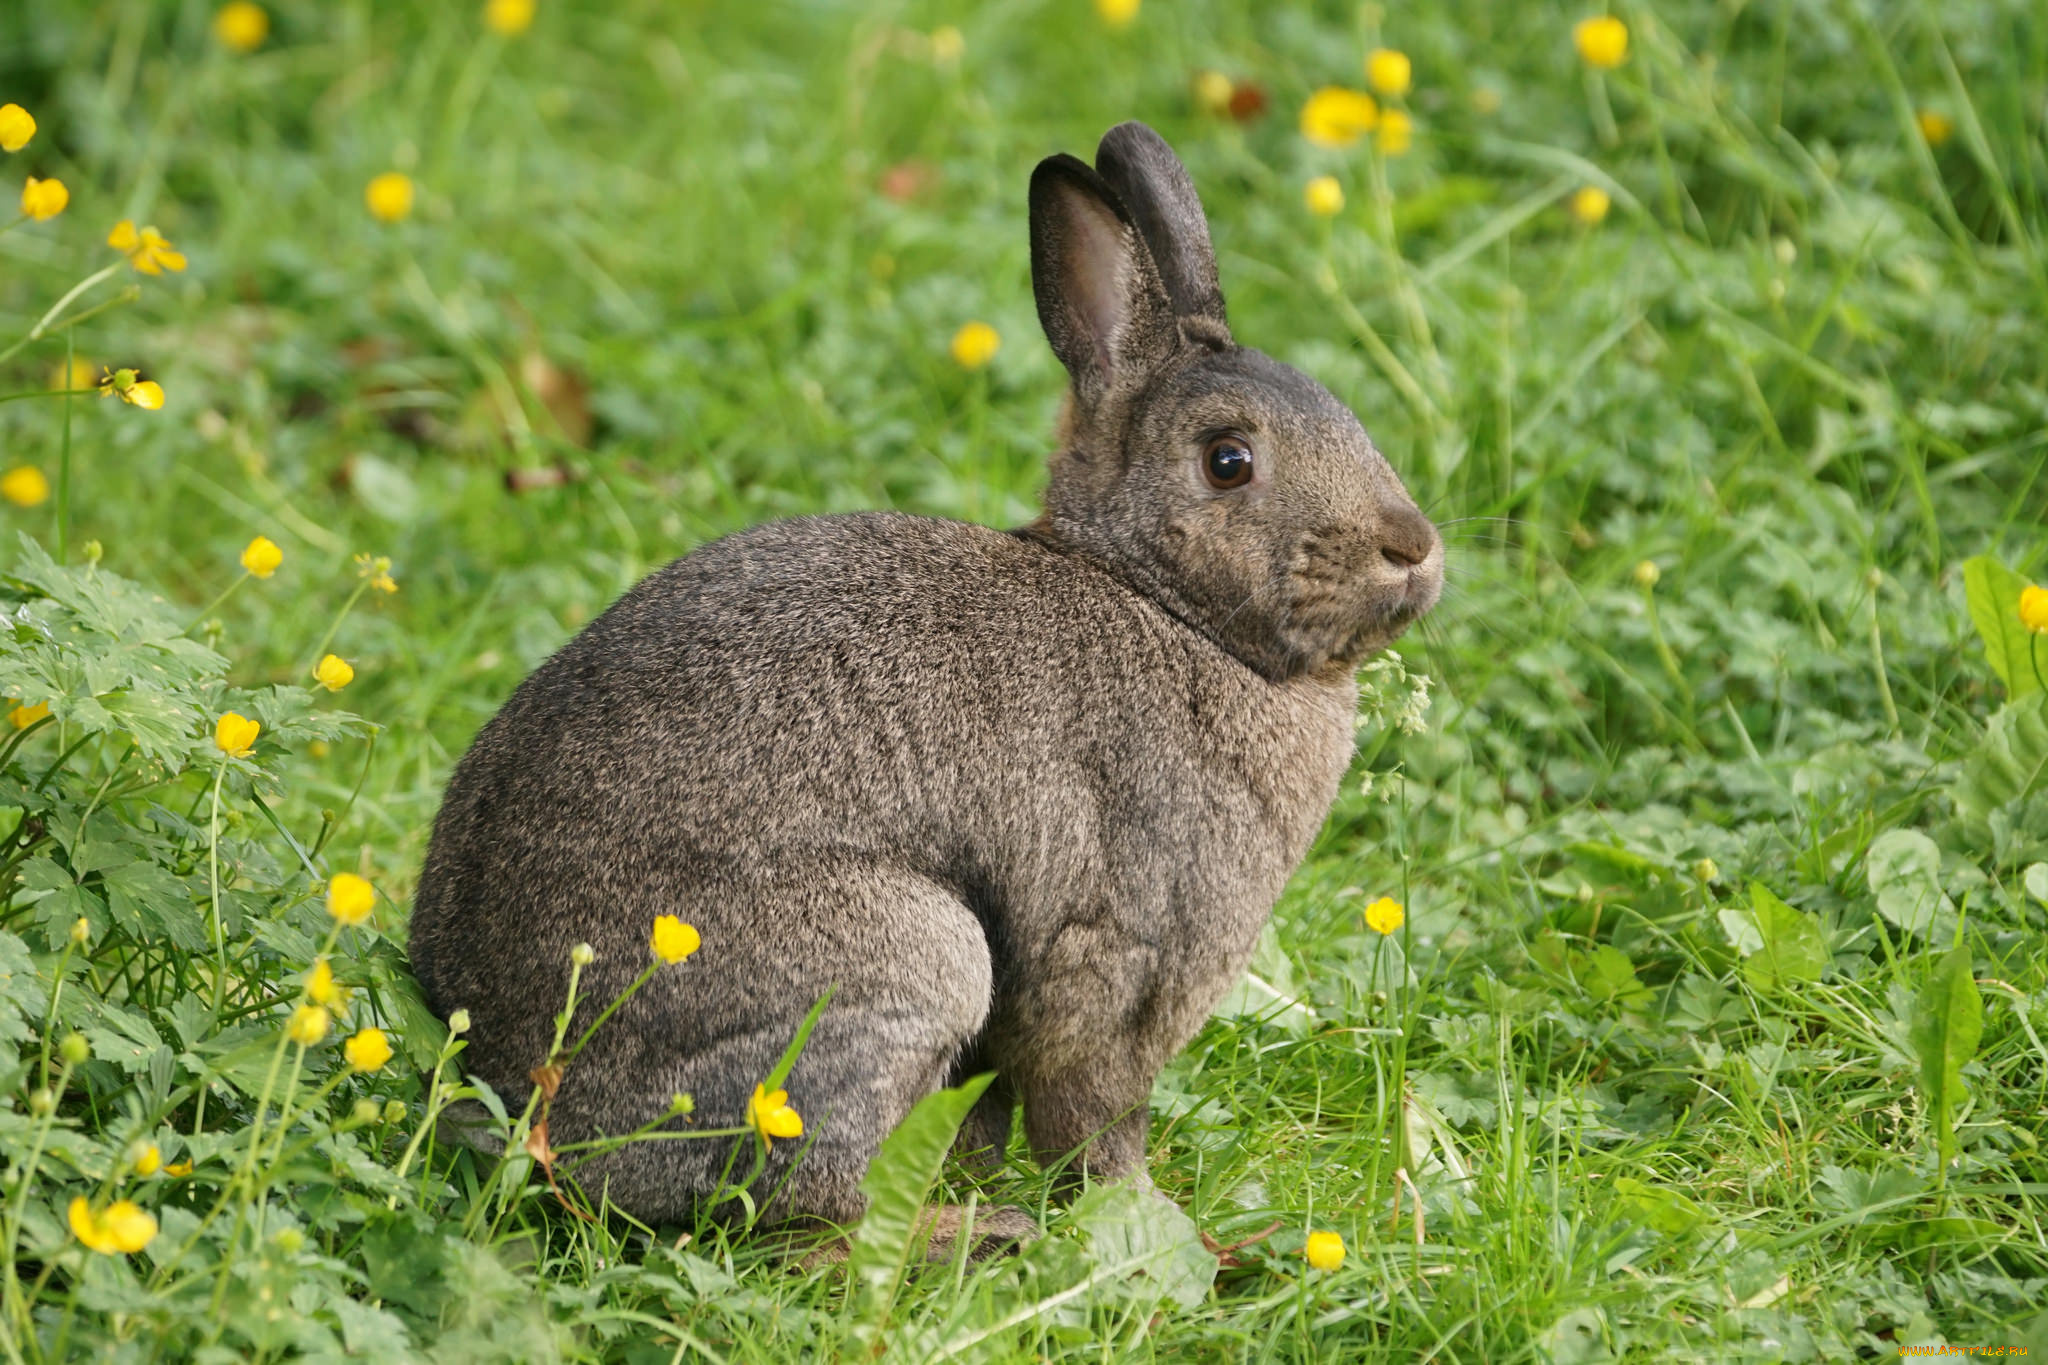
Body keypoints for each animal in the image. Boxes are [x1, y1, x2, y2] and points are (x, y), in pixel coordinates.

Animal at [403, 120, 1441, 1260]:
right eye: (1227, 460)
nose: (1412, 547)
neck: (1164, 603)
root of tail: (512, 1087)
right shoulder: (1117, 957)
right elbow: (1093, 1119)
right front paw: (1164, 1233)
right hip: (903, 963)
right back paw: (972, 1232)